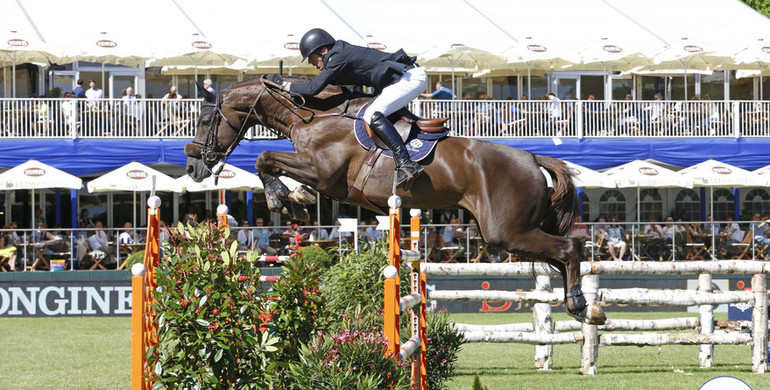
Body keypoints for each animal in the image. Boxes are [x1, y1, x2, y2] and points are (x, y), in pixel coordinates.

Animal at [183, 77, 604, 326]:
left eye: (204, 121)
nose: (192, 166)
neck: (311, 116)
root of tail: (532, 158)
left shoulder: (323, 172)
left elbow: (263, 158)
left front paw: (281, 197)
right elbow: (270, 163)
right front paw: (295, 198)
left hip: (506, 232)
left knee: (569, 248)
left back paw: (582, 306)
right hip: (514, 232)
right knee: (562, 255)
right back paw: (585, 305)